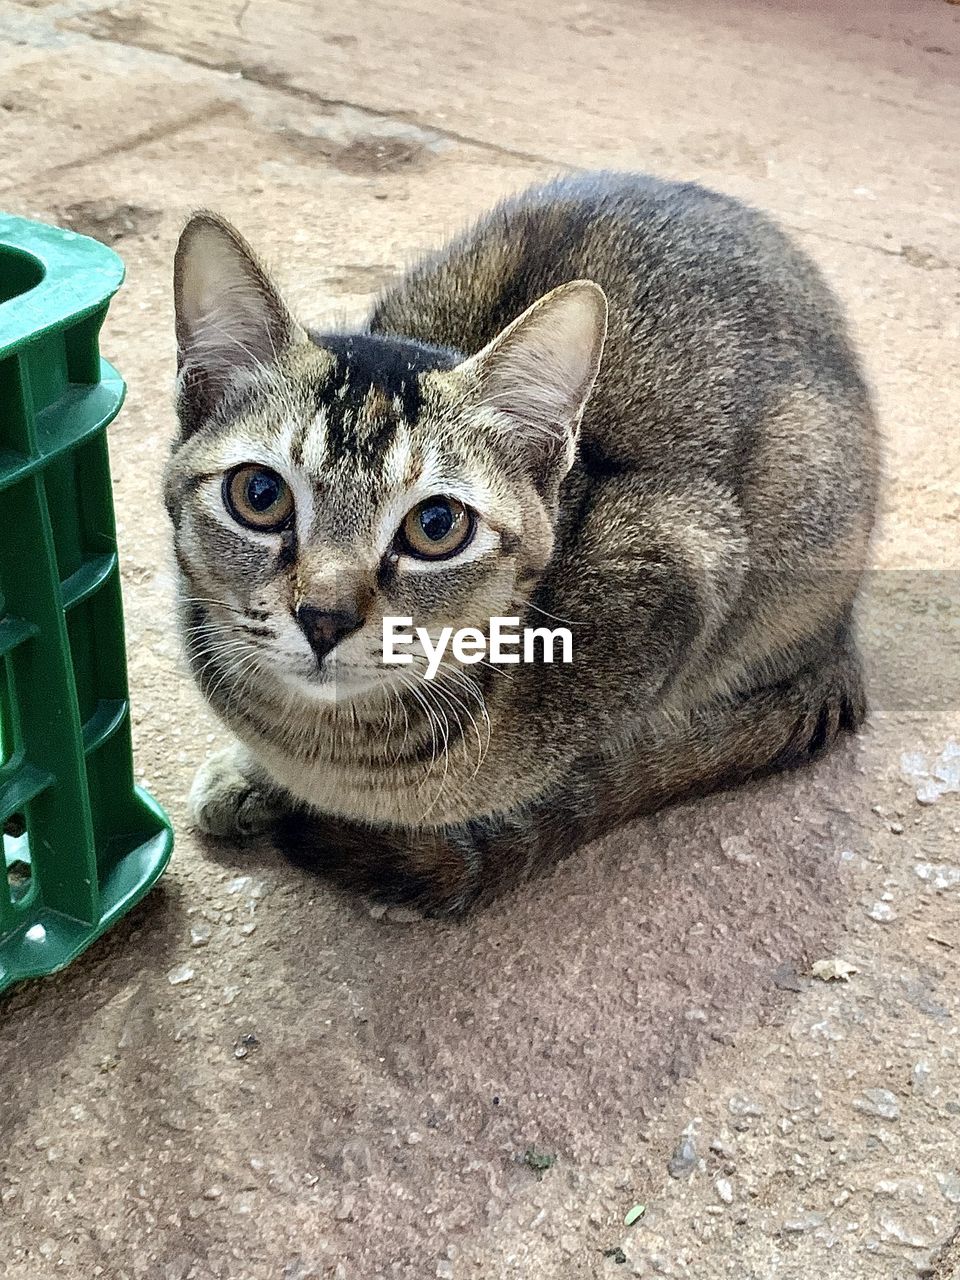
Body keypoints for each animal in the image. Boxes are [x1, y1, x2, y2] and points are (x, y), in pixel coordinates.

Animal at [163, 172, 880, 911]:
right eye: (260, 495)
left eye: (437, 526)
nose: (324, 617)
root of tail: (843, 635)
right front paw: (251, 774)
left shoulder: (685, 550)